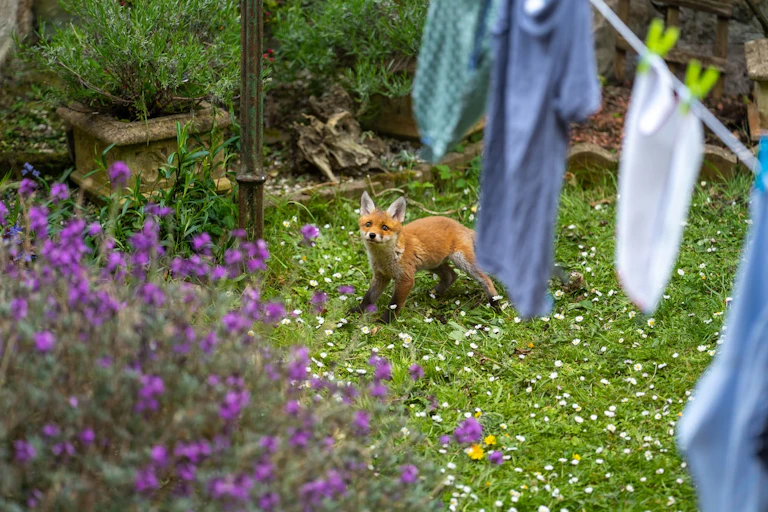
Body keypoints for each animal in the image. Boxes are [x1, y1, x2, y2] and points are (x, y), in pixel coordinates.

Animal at [348, 191, 501, 323]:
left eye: (384, 227)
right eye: (368, 224)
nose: (372, 235)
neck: (385, 259)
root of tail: (460, 225)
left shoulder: (406, 279)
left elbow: (394, 304)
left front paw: (384, 321)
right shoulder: (380, 276)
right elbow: (368, 297)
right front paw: (358, 310)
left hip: (462, 261)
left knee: (485, 279)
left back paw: (495, 303)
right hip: (432, 263)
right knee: (451, 275)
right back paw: (434, 293)